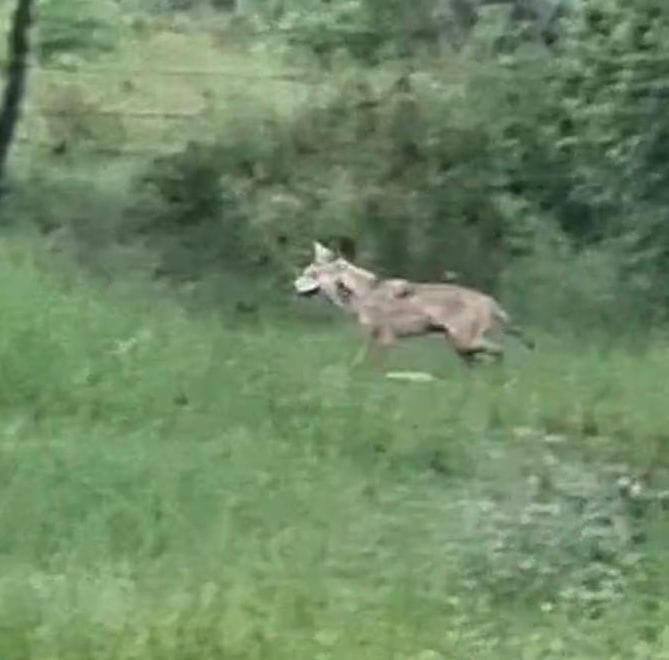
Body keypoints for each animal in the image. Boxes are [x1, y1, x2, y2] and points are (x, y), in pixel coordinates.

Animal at [294, 241, 534, 366]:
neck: (364, 293)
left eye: (311, 274)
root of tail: (489, 299)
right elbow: (358, 361)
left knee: (499, 352)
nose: (293, 284)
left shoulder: (385, 341)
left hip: (464, 342)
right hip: (461, 347)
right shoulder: (374, 340)